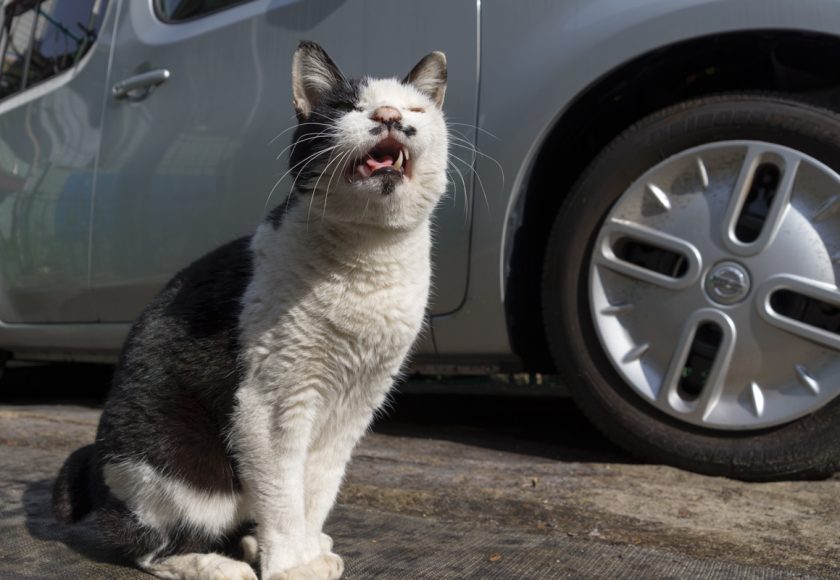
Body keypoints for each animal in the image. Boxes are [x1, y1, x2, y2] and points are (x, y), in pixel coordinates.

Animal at [51, 42, 450, 580]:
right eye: (348, 107)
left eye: (414, 110)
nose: (388, 115)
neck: (370, 259)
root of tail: (95, 467)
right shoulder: (273, 405)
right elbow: (282, 494)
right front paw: (291, 565)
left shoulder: (352, 409)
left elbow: (315, 490)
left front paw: (306, 548)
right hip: (180, 473)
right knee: (143, 542)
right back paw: (217, 564)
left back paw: (250, 544)